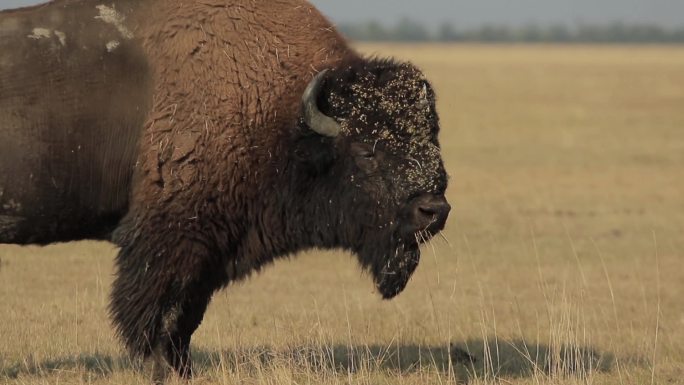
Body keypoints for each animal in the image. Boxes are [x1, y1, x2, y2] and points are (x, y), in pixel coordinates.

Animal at [0, 0, 452, 378]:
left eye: (433, 138)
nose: (433, 210)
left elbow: (185, 319)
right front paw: (159, 368)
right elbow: (157, 313)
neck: (282, 117)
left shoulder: (208, 253)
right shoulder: (171, 241)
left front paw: (181, 369)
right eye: (365, 151)